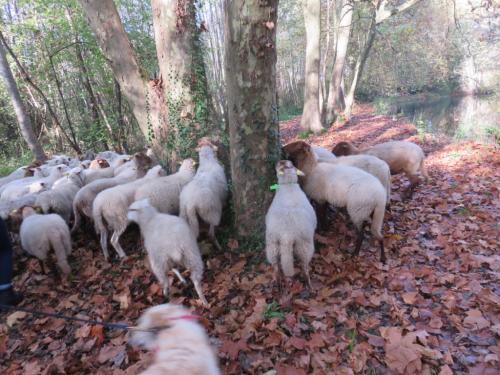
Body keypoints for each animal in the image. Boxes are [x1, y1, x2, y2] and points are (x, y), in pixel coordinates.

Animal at [266, 160, 316, 290]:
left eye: (290, 164)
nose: (279, 161)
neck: (288, 185)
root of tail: (286, 234)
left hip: (272, 244)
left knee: (276, 265)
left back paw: (277, 281)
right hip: (304, 245)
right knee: (304, 266)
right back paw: (309, 284)